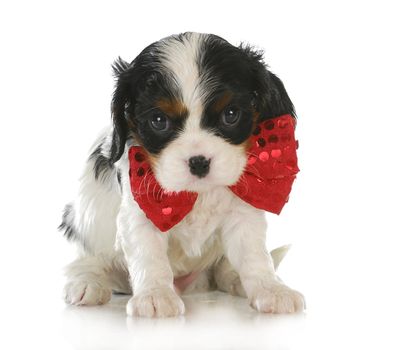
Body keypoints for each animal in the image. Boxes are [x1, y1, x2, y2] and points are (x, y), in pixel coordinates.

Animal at [59, 32, 306, 318]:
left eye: (231, 114)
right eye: (158, 120)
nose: (199, 162)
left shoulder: (242, 212)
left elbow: (254, 255)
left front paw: (271, 289)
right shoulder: (141, 213)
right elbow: (150, 256)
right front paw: (155, 295)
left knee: (224, 269)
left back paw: (234, 279)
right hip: (86, 225)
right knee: (86, 261)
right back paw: (87, 283)